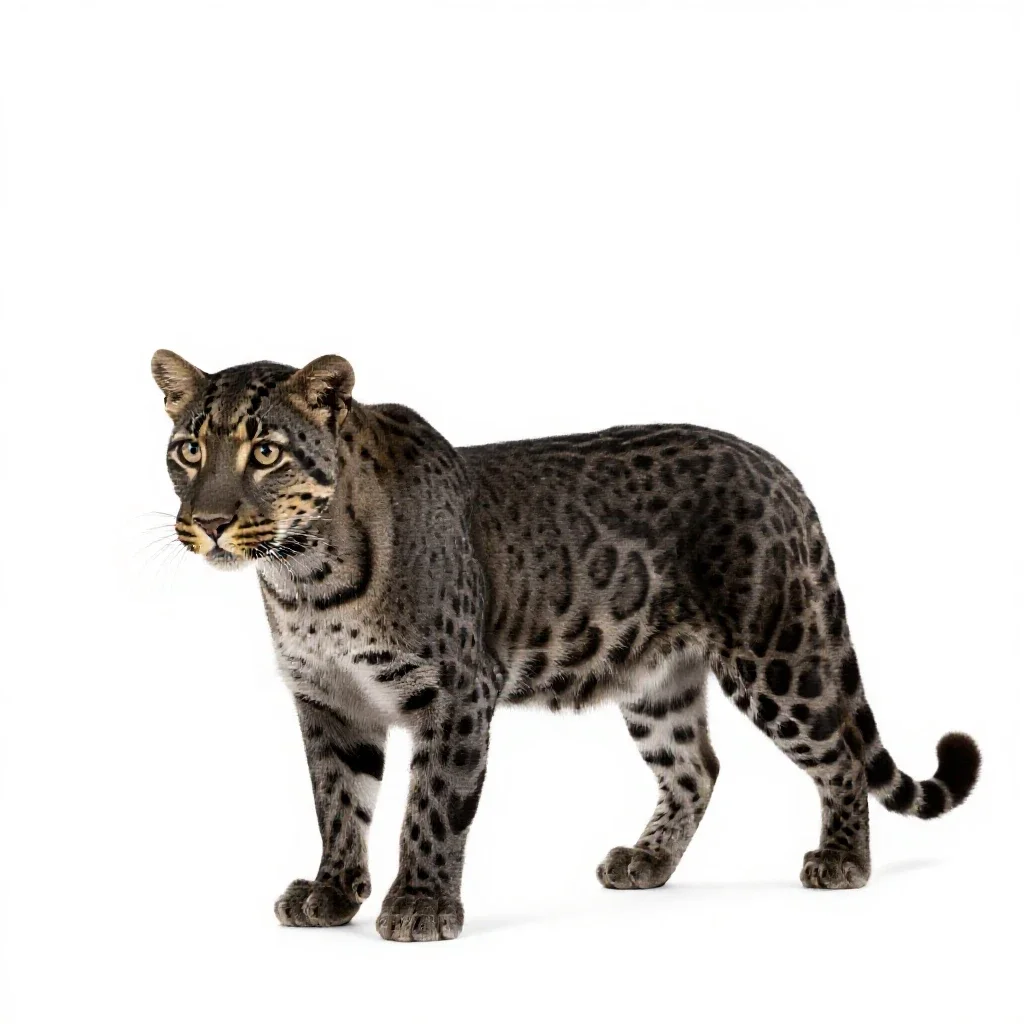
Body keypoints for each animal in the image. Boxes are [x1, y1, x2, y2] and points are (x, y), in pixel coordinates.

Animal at [152, 349, 981, 941]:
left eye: (265, 453)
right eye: (189, 451)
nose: (211, 523)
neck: (304, 574)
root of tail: (776, 469)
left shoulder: (457, 692)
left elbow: (431, 807)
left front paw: (419, 906)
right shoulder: (327, 703)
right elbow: (337, 804)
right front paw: (330, 895)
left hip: (775, 651)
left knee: (837, 754)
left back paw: (842, 862)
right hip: (656, 678)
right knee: (696, 767)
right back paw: (647, 863)